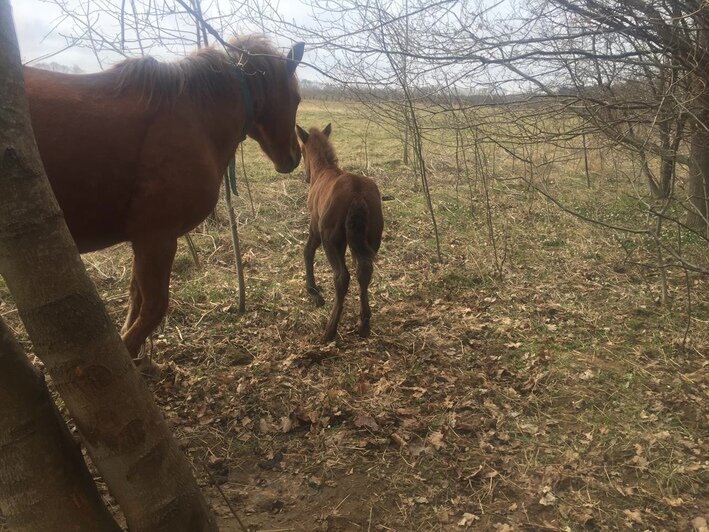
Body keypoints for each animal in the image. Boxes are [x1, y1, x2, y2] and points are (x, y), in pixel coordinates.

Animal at [294, 123, 382, 340]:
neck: (323, 171)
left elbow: (308, 251)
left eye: (302, 151)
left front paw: (313, 291)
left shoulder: (315, 226)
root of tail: (357, 193)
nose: (306, 177)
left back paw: (330, 330)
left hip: (332, 241)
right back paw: (364, 325)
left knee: (342, 277)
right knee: (364, 271)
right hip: (371, 239)